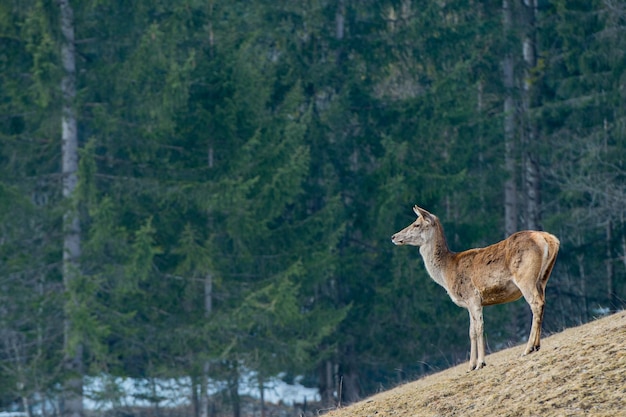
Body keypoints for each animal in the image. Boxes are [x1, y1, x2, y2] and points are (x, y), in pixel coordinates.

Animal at [388, 205, 560, 370]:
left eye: (416, 224)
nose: (393, 236)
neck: (446, 272)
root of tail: (549, 239)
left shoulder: (473, 296)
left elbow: (479, 328)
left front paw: (480, 363)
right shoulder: (468, 304)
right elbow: (471, 331)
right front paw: (470, 365)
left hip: (525, 277)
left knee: (535, 304)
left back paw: (528, 348)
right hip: (542, 278)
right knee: (542, 302)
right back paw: (536, 345)